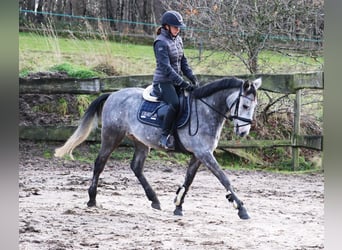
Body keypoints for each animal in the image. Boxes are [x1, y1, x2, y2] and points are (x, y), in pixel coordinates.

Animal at [55, 76, 262, 219]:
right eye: (245, 105)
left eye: (254, 106)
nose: (244, 132)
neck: (206, 110)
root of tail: (113, 94)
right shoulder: (204, 153)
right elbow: (224, 178)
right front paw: (241, 208)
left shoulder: (198, 155)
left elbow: (188, 180)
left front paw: (178, 206)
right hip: (112, 136)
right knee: (100, 163)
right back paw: (92, 199)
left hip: (141, 141)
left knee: (136, 167)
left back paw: (154, 200)